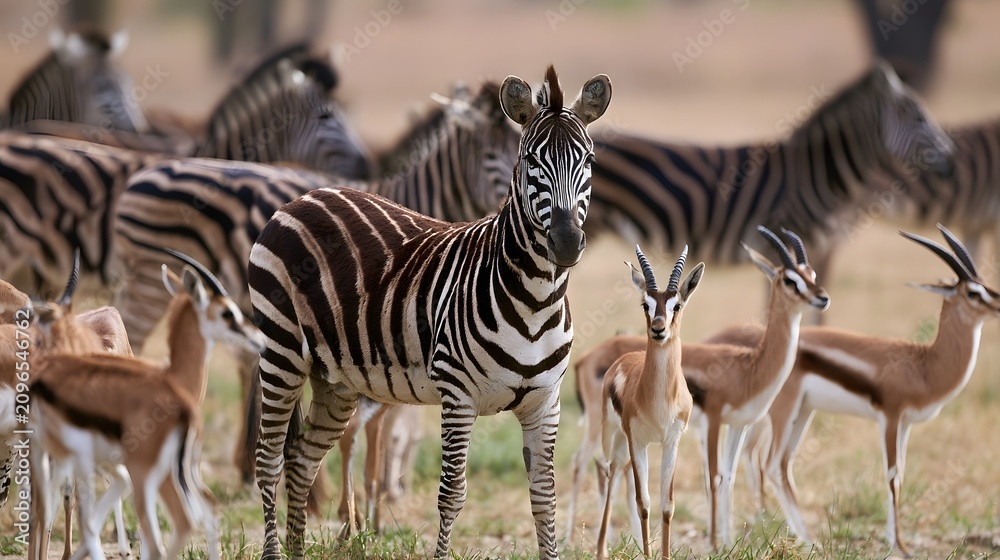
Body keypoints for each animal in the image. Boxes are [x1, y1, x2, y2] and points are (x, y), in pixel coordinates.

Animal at [248, 66, 611, 559]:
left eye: (588, 161)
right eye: (531, 161)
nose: (567, 241)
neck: (537, 299)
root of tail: (306, 196)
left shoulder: (545, 401)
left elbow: (544, 497)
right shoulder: (458, 395)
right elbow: (452, 494)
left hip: (335, 379)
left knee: (302, 459)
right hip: (281, 352)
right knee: (268, 460)